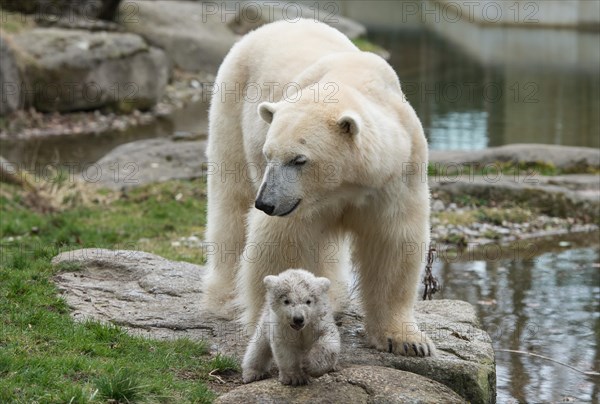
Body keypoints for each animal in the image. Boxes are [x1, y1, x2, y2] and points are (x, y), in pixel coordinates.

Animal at [204, 19, 434, 356]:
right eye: (269, 154)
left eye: (299, 159)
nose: (266, 204)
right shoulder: (297, 203)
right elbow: (283, 243)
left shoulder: (395, 175)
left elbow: (392, 241)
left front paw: (407, 340)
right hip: (231, 104)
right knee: (231, 200)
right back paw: (225, 298)